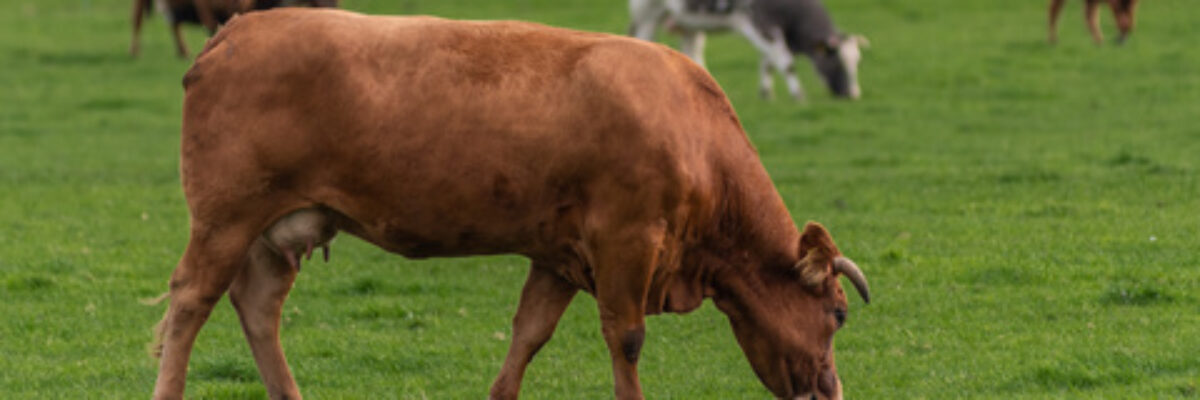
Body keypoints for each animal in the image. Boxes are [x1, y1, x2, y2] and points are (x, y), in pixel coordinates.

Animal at [629, 0, 869, 101]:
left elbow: (768, 62)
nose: (854, 95)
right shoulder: (760, 23)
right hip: (648, 14)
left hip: (689, 23)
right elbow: (785, 63)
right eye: (836, 62)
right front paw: (798, 95)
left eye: (857, 62)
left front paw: (767, 94)